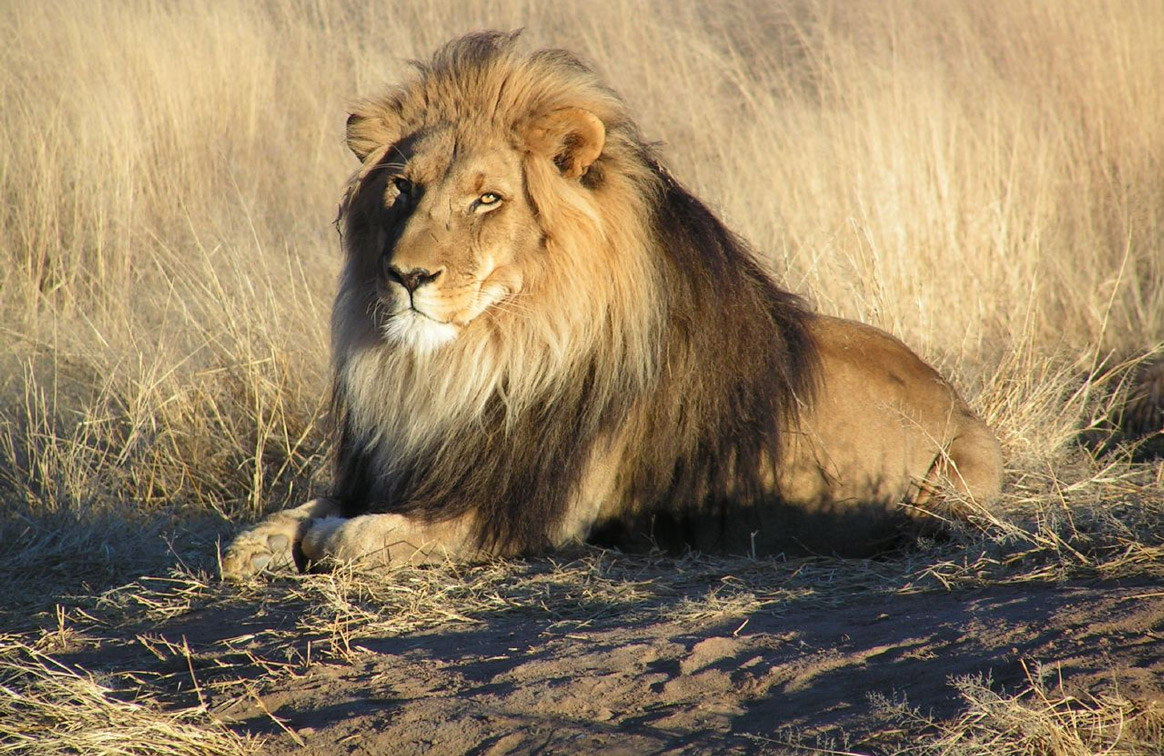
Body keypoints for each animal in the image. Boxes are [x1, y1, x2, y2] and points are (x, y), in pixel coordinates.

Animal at [222, 29, 1005, 575]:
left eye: (487, 199)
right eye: (402, 188)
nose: (407, 276)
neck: (474, 362)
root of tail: (958, 399)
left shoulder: (522, 514)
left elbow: (352, 539)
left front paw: (320, 538)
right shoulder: (407, 467)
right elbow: (285, 519)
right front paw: (263, 542)